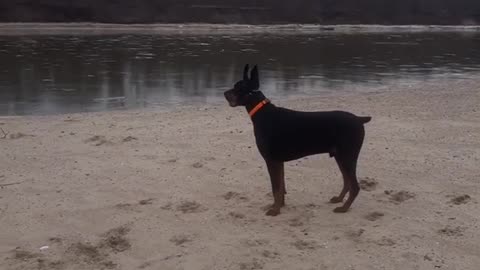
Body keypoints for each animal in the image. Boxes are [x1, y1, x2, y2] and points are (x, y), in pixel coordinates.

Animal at [223, 64, 374, 216]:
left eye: (239, 87)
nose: (224, 93)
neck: (262, 113)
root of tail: (359, 119)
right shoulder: (279, 161)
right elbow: (281, 187)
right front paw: (280, 205)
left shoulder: (271, 160)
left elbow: (275, 188)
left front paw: (275, 210)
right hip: (340, 156)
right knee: (347, 181)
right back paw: (339, 199)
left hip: (348, 156)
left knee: (354, 186)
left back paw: (344, 208)